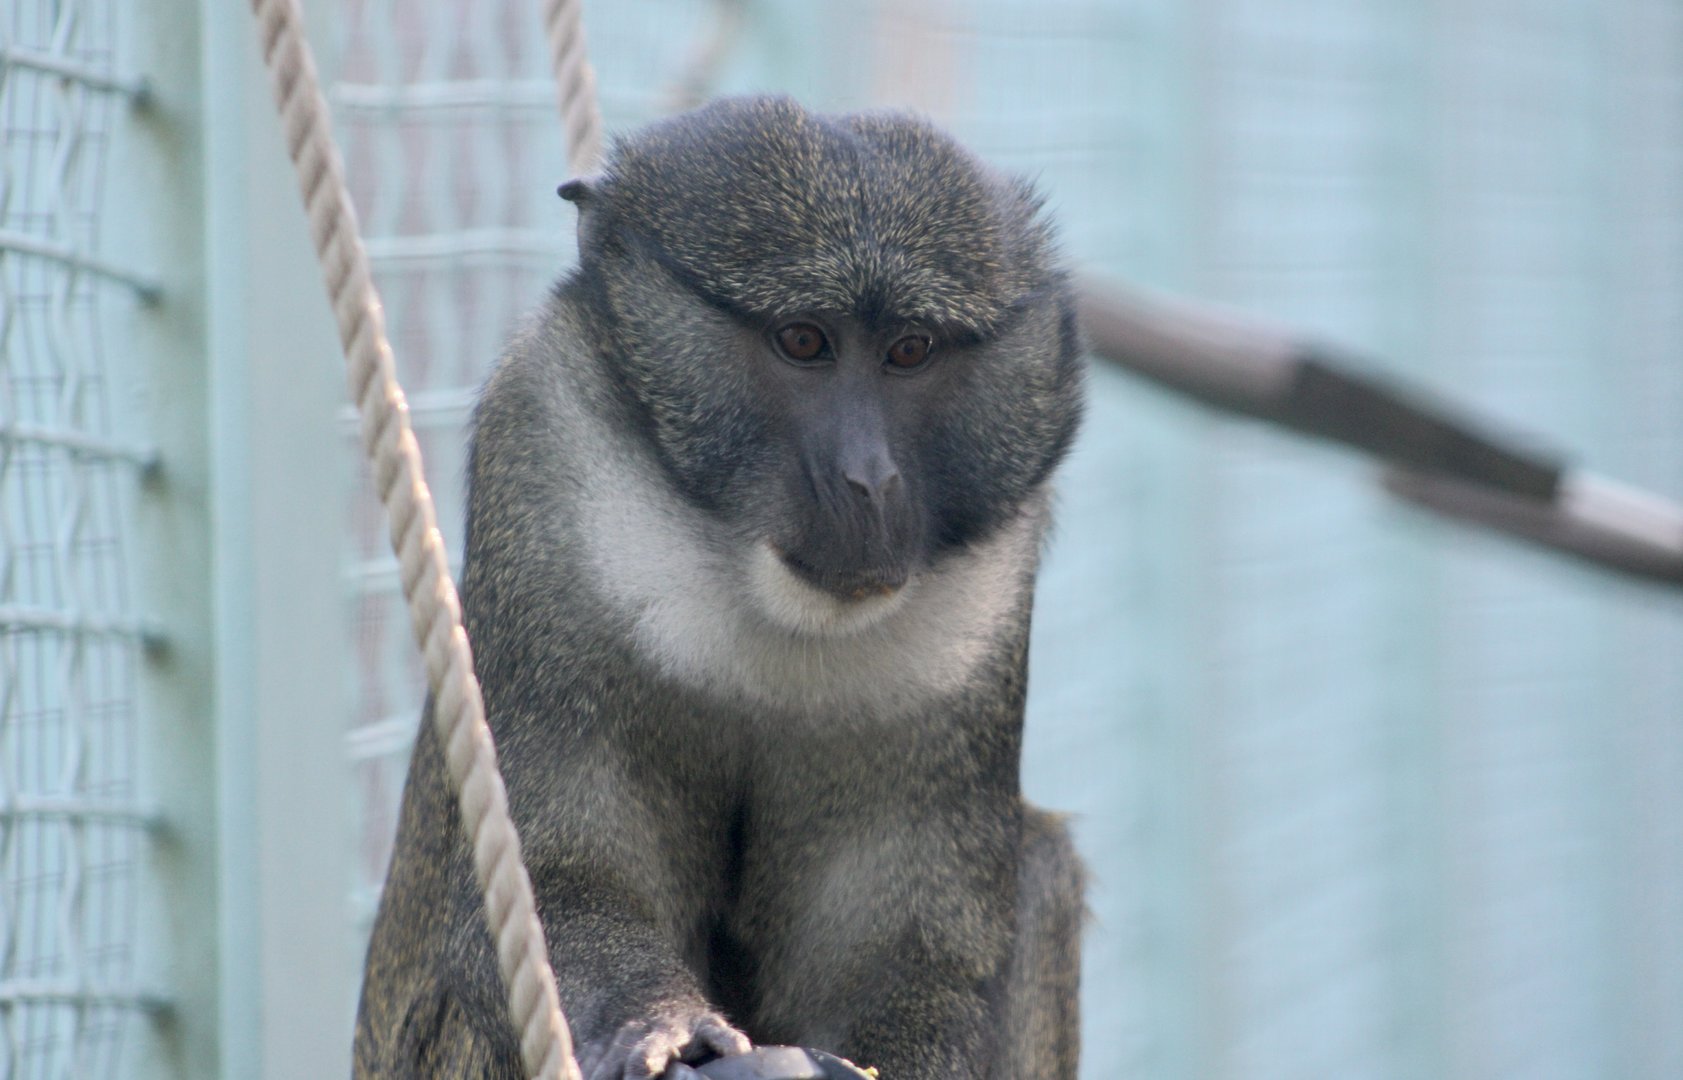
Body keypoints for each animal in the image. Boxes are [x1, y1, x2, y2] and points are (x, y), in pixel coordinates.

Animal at [353, 95, 1086, 1080]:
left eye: (910, 351)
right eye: (804, 341)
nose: (870, 481)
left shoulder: (989, 589)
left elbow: (912, 953)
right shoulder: (543, 439)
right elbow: (555, 876)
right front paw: (660, 1024)